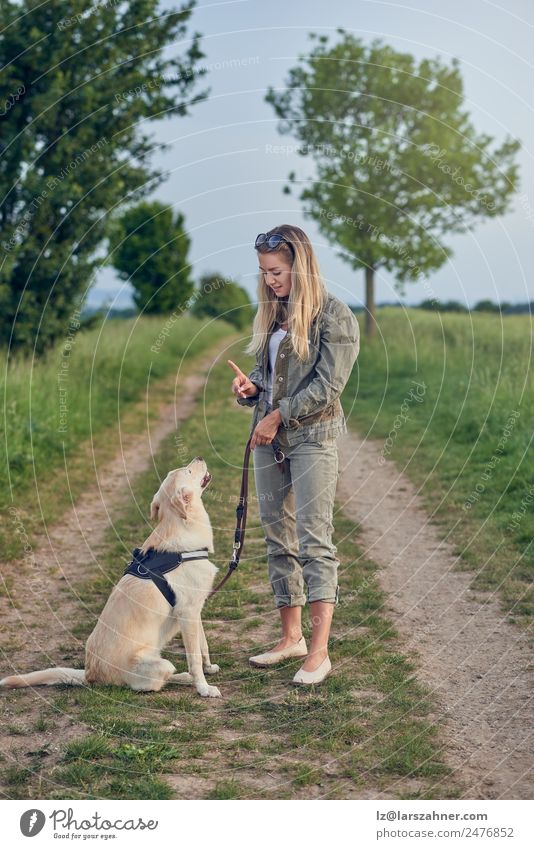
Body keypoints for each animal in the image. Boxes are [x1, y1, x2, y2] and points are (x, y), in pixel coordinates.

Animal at [0, 458, 222, 696]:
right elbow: (194, 658)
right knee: (154, 682)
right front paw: (203, 688)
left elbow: (203, 646)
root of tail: (90, 674)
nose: (199, 458)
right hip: (160, 665)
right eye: (188, 471)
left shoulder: (195, 610)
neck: (182, 527)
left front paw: (208, 668)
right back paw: (183, 677)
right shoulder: (187, 612)